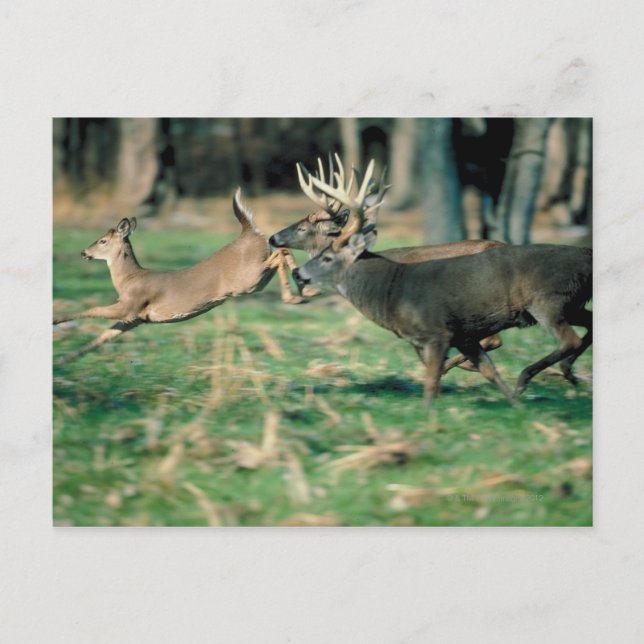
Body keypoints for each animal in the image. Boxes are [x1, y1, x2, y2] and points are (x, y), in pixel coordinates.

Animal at [53, 189, 304, 363]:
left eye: (102, 241)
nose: (83, 252)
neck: (129, 279)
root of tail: (249, 232)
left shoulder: (130, 305)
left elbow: (93, 310)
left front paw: (55, 320)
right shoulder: (135, 318)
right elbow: (102, 338)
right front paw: (64, 359)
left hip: (247, 279)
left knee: (279, 253)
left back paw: (296, 295)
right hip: (253, 279)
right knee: (282, 251)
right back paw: (300, 289)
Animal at [291, 158, 592, 414]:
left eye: (327, 257)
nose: (296, 272)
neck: (390, 288)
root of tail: (587, 255)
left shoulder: (438, 332)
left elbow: (432, 378)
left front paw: (428, 413)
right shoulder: (462, 335)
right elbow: (488, 370)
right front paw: (516, 404)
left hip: (548, 301)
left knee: (569, 339)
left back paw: (530, 376)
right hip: (571, 304)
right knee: (586, 328)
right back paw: (565, 374)